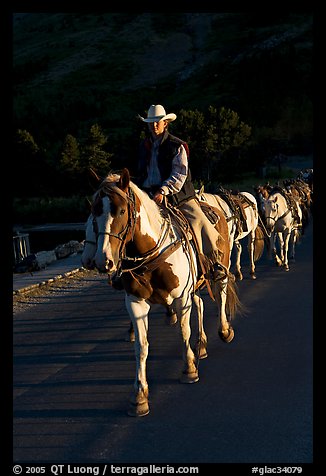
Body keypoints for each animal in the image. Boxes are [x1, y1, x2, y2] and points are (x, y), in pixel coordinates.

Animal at [81, 169, 242, 414]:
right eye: (94, 212)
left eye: (121, 210)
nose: (103, 260)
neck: (151, 251)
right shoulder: (135, 303)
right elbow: (141, 347)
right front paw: (139, 396)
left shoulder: (181, 297)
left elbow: (184, 332)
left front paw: (189, 369)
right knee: (200, 304)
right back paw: (201, 344)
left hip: (219, 265)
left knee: (221, 294)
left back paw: (224, 331)